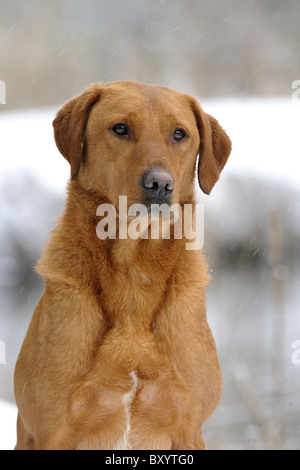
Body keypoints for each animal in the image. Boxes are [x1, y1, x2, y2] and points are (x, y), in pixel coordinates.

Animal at [13, 81, 232, 452]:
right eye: (120, 128)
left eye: (180, 134)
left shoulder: (188, 428)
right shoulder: (53, 432)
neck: (133, 273)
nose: (160, 184)